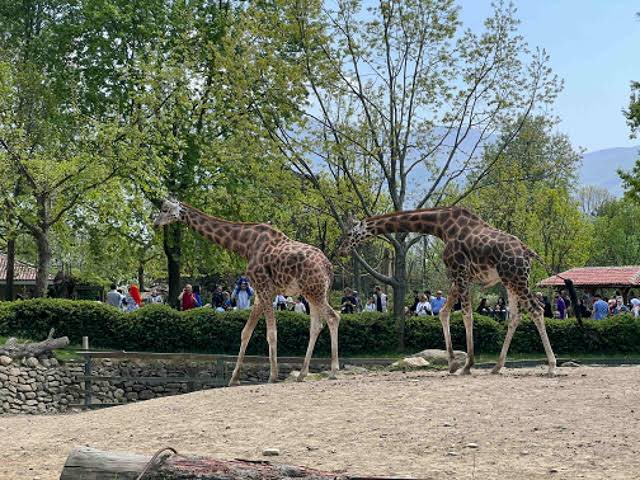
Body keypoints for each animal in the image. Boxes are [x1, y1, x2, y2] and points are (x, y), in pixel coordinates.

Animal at [153, 200, 340, 386]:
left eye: (165, 209)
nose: (155, 223)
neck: (245, 245)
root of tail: (328, 267)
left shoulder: (264, 288)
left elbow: (271, 333)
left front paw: (273, 376)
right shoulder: (260, 293)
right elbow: (246, 332)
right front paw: (234, 379)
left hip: (315, 291)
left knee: (333, 317)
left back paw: (333, 371)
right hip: (312, 294)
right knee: (316, 326)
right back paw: (302, 374)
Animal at [340, 208, 556, 376]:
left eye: (349, 234)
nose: (340, 250)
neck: (441, 227)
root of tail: (527, 252)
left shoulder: (460, 273)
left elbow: (467, 315)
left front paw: (467, 366)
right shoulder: (459, 277)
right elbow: (444, 313)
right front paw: (453, 364)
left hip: (516, 279)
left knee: (536, 310)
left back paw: (552, 367)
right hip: (510, 281)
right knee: (515, 317)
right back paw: (497, 367)